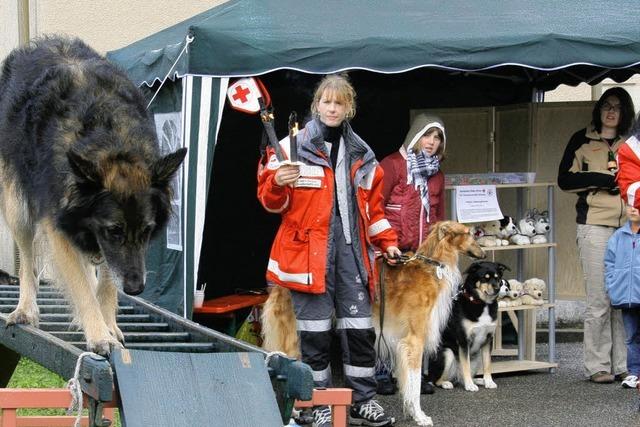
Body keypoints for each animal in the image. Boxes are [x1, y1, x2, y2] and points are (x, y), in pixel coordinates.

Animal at [0, 36, 185, 356]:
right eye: (113, 231)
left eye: (148, 231)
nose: (136, 289)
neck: (109, 139)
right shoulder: (60, 225)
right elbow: (82, 286)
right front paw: (99, 334)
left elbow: (106, 282)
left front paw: (107, 324)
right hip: (18, 207)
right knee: (27, 261)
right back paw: (25, 308)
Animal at [262, 222, 488, 426]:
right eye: (470, 233)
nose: (484, 254)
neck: (432, 268)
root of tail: (280, 284)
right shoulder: (414, 341)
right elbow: (414, 385)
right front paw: (420, 416)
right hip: (295, 337)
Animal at [424, 260, 510, 394]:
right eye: (485, 278)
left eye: (498, 278)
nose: (497, 289)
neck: (482, 303)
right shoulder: (464, 340)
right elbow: (466, 366)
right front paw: (469, 385)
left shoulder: (487, 340)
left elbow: (488, 364)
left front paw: (488, 381)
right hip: (447, 353)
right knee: (436, 380)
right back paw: (447, 383)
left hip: (477, 356)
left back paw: (479, 380)